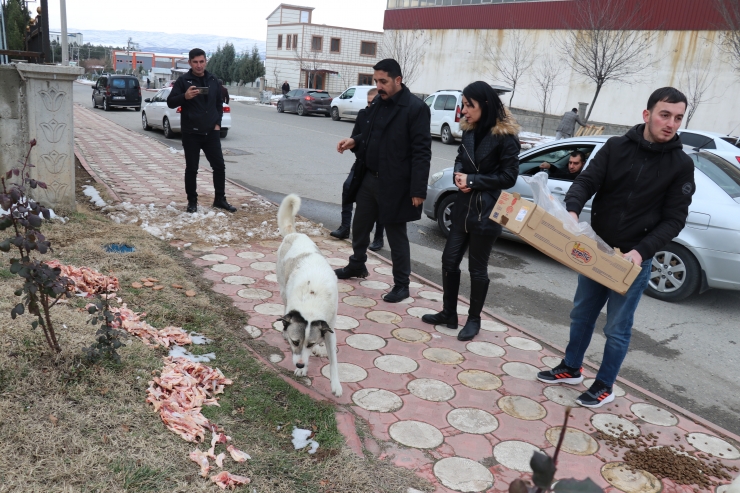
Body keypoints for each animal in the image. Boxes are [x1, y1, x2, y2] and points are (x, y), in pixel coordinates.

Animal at [274, 194, 342, 398]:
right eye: (295, 341)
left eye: (310, 344)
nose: (299, 365)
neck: (312, 301)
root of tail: (294, 234)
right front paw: (303, 369)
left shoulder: (330, 327)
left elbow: (334, 361)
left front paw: (336, 385)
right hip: (282, 288)